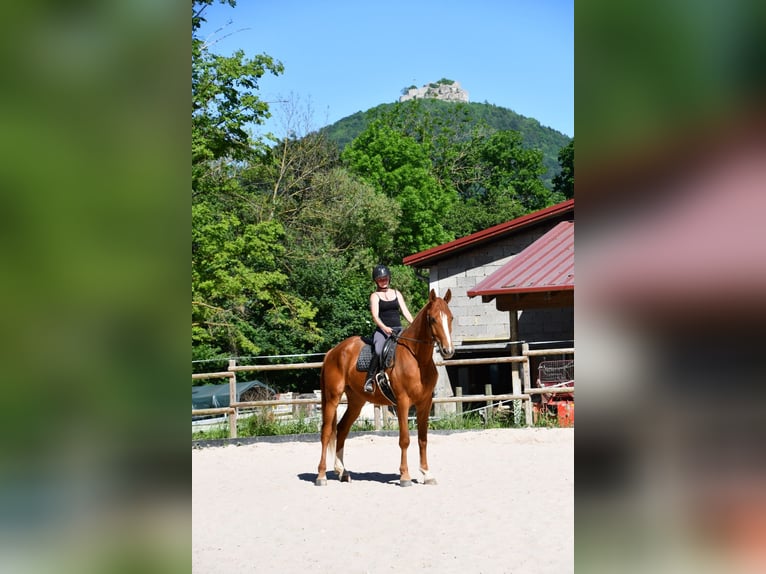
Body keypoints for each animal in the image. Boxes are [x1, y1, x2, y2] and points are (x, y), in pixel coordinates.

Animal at [316, 290, 452, 488]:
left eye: (450, 318)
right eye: (433, 319)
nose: (448, 350)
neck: (417, 359)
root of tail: (333, 351)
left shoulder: (425, 404)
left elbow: (423, 439)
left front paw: (427, 474)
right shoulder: (402, 402)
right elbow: (405, 439)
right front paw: (405, 477)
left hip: (356, 402)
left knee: (342, 429)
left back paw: (342, 472)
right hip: (332, 398)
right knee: (326, 432)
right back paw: (321, 476)